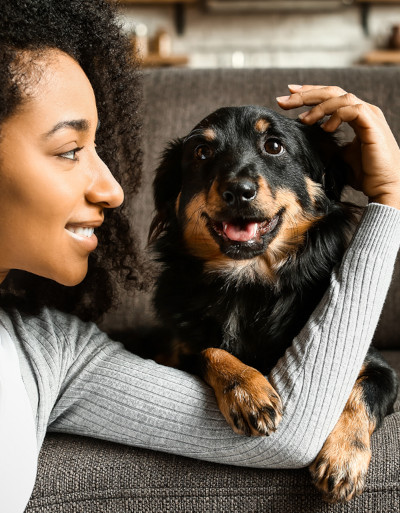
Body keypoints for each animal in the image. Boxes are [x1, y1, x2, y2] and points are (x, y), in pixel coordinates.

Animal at [148, 106, 400, 502]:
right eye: (202, 153)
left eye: (274, 146)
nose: (238, 191)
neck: (248, 284)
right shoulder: (173, 351)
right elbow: (209, 350)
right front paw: (247, 391)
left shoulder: (379, 368)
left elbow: (361, 395)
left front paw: (343, 458)